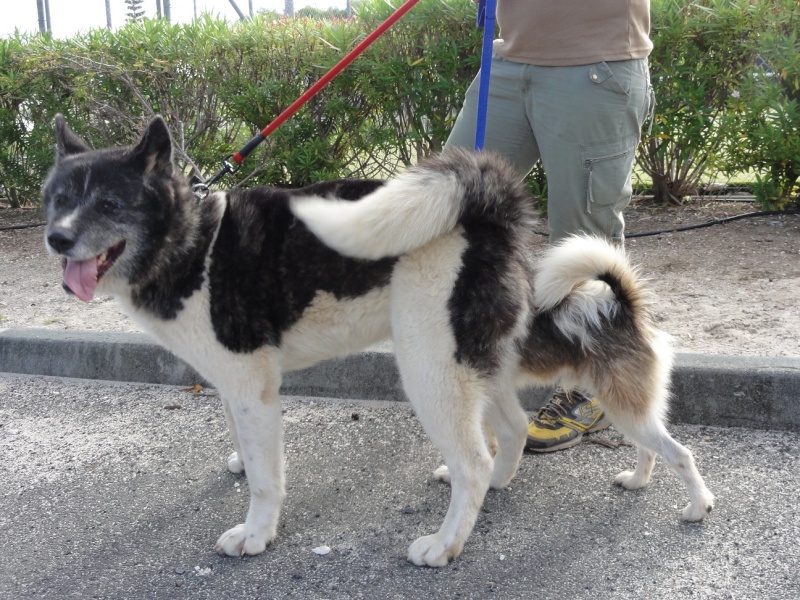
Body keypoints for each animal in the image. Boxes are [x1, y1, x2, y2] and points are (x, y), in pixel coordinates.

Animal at [40, 116, 712, 568]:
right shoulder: (238, 386)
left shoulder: (253, 385)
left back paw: (445, 544)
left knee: (478, 457)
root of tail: (485, 211)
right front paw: (240, 466)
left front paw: (256, 534)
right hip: (473, 365)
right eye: (58, 199)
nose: (56, 238)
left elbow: (265, 479)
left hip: (428, 368)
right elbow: (248, 453)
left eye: (110, 202)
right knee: (511, 432)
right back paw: (501, 488)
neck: (191, 240)